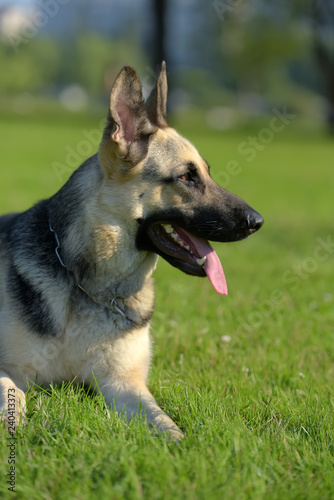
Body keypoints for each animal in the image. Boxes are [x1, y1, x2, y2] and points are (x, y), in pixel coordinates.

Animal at [0, 63, 264, 442]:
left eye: (206, 173)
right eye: (186, 177)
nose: (258, 222)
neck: (90, 288)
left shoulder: (125, 386)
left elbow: (166, 424)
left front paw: (179, 444)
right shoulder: (9, 370)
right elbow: (14, 396)